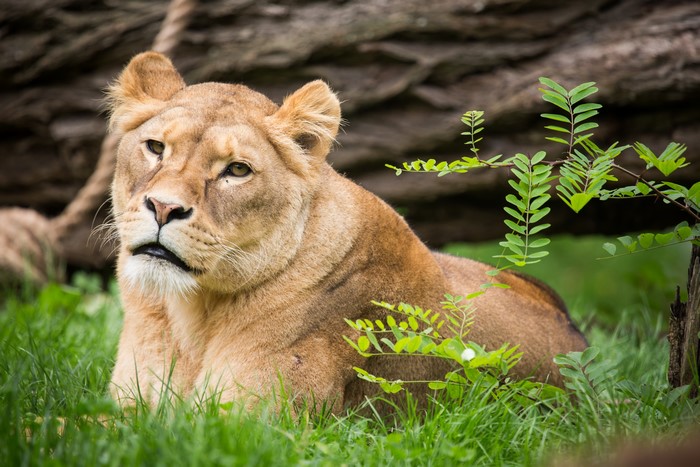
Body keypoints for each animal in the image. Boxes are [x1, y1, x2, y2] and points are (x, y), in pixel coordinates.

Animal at [107, 51, 587, 411]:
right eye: (155, 147)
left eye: (237, 170)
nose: (164, 207)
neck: (193, 313)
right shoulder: (129, 408)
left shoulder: (254, 424)